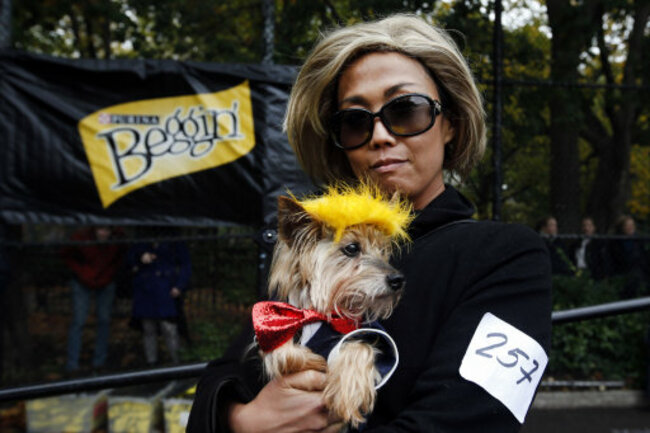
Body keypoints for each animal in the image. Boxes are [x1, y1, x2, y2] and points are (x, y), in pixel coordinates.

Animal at [249, 181, 410, 426]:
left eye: (382, 250)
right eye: (352, 248)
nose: (397, 280)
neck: (320, 315)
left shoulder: (374, 336)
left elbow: (360, 345)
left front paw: (347, 394)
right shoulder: (275, 326)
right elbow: (282, 350)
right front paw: (312, 360)